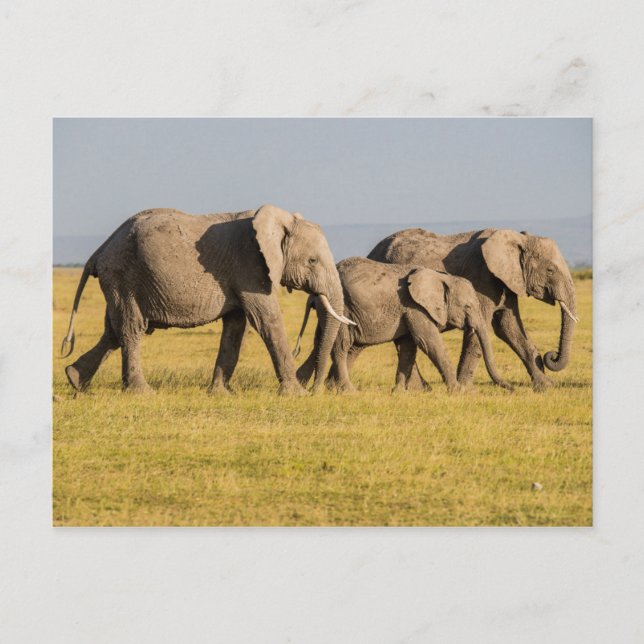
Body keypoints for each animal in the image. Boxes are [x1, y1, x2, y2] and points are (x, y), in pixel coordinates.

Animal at [61, 205, 353, 394]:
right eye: (312, 261)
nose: (316, 391)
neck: (279, 221)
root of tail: (101, 249)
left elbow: (236, 327)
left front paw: (221, 393)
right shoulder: (250, 265)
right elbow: (267, 320)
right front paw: (295, 395)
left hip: (119, 281)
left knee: (113, 330)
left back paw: (75, 380)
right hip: (123, 275)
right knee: (131, 328)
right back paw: (141, 392)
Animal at [294, 257, 512, 393]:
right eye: (467, 306)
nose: (511, 388)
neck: (441, 277)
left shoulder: (408, 311)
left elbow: (408, 346)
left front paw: (399, 392)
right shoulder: (415, 308)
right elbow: (429, 342)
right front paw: (458, 391)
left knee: (333, 344)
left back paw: (325, 387)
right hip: (343, 310)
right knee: (340, 346)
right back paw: (346, 390)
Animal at [368, 228, 578, 391]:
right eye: (550, 270)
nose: (551, 355)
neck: (518, 238)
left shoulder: (507, 281)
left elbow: (509, 328)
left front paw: (547, 386)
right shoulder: (481, 279)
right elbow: (481, 329)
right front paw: (466, 389)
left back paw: (421, 389)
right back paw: (419, 389)